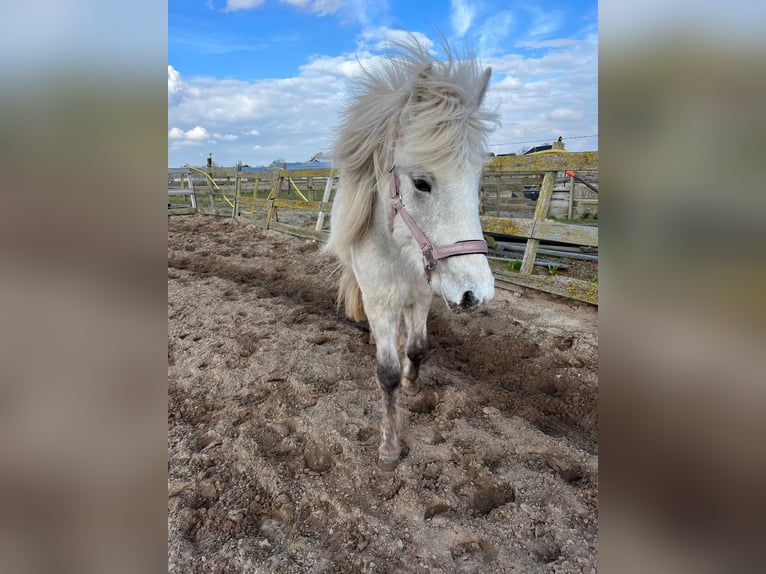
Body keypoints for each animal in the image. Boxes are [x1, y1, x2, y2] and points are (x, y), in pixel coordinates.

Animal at [325, 38, 498, 470]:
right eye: (421, 182)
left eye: (477, 180)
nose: (476, 293)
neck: (400, 252)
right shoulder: (381, 301)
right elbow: (385, 374)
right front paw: (389, 447)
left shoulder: (421, 297)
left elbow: (417, 348)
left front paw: (413, 385)